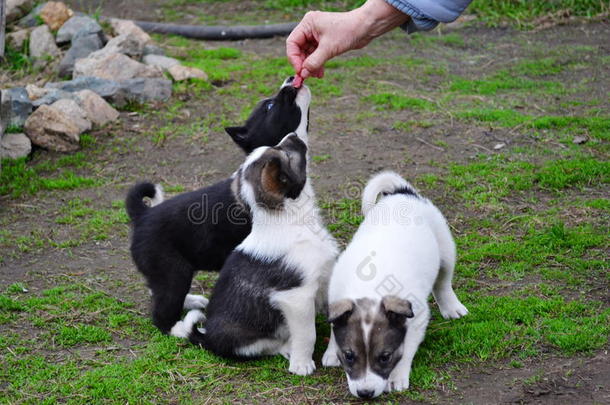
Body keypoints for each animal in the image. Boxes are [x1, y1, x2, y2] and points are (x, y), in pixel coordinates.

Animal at [126, 78, 312, 334]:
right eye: (270, 106)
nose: (290, 80)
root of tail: (142, 215)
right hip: (173, 271)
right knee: (161, 312)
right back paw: (180, 328)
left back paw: (192, 301)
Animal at [320, 170, 468, 398]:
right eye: (349, 356)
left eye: (385, 357)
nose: (365, 393)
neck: (369, 287)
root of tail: (402, 192)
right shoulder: (336, 297)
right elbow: (334, 326)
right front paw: (331, 353)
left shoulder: (417, 318)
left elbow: (405, 349)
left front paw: (397, 376)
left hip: (446, 249)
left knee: (443, 283)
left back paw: (452, 308)